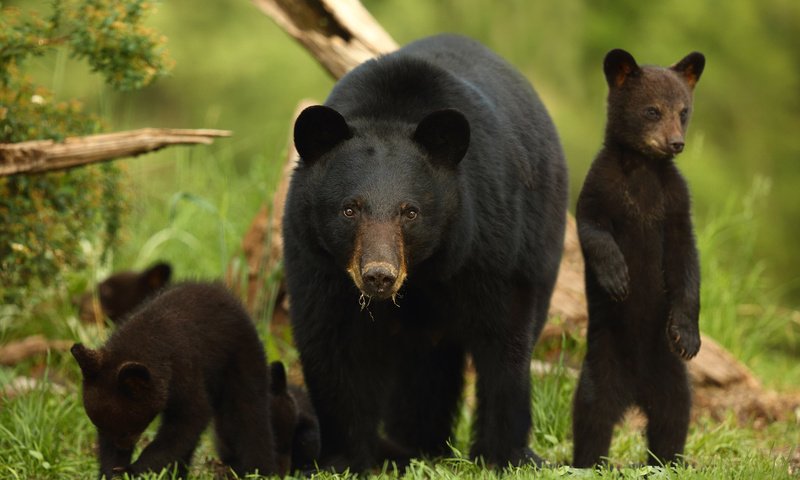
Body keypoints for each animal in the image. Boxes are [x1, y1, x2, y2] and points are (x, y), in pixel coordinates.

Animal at [72, 284, 278, 478]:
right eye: (99, 426)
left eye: (127, 430)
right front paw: (112, 471)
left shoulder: (184, 371)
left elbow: (189, 419)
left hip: (241, 359)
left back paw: (259, 470)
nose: (122, 449)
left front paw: (134, 470)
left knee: (249, 412)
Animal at [284, 35, 564, 470]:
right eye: (350, 209)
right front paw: (343, 458)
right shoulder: (316, 259)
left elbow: (504, 336)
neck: (422, 272)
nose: (379, 275)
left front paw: (505, 455)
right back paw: (415, 443)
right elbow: (333, 343)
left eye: (410, 211)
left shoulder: (489, 241)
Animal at [572, 50, 704, 466]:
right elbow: (593, 229)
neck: (644, 168)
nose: (675, 143)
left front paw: (687, 336)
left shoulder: (676, 203)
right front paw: (618, 279)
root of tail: (635, 392)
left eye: (683, 111)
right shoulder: (599, 188)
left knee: (674, 417)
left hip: (672, 376)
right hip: (601, 365)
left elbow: (686, 262)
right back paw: (587, 463)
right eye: (652, 110)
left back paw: (667, 462)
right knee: (592, 416)